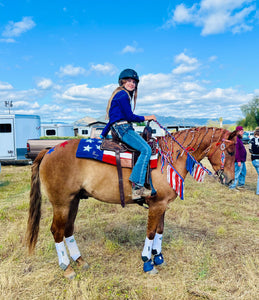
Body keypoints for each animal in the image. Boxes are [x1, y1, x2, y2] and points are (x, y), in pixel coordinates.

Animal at [25, 125, 238, 278]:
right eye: (230, 151)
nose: (229, 180)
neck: (169, 157)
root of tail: (49, 150)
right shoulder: (157, 205)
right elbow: (151, 232)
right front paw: (147, 262)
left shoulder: (163, 205)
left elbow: (160, 230)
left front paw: (158, 257)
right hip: (61, 203)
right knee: (57, 231)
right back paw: (67, 267)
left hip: (73, 201)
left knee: (68, 230)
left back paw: (80, 261)